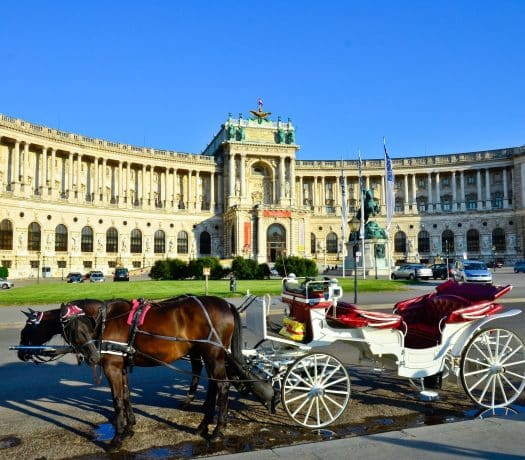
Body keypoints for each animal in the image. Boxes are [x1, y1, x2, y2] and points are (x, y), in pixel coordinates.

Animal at [60, 294, 245, 450]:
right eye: (73, 330)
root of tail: (226, 304)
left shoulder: (112, 367)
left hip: (213, 357)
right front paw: (129, 428)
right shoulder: (121, 366)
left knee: (222, 387)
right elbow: (126, 395)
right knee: (213, 386)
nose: (93, 357)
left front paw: (117, 439)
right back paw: (204, 425)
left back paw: (217, 431)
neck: (107, 319)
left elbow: (117, 400)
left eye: (86, 326)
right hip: (208, 356)